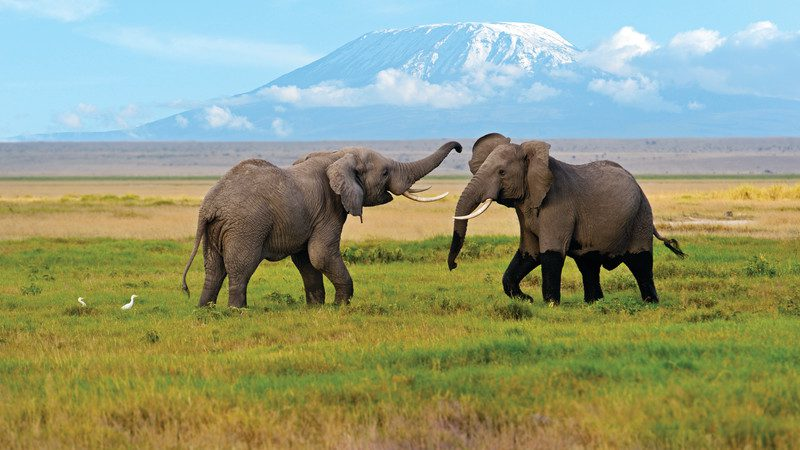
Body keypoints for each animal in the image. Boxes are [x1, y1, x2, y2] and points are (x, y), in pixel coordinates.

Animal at [182, 141, 462, 307]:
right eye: (384, 173)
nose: (459, 147)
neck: (337, 155)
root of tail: (209, 206)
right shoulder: (329, 208)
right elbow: (321, 254)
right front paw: (341, 306)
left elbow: (305, 259)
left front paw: (316, 308)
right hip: (246, 227)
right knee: (241, 267)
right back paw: (238, 310)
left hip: (215, 229)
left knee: (214, 268)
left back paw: (205, 310)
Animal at [447, 133, 684, 305]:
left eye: (502, 172)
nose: (454, 265)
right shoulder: (525, 208)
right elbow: (529, 253)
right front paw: (527, 300)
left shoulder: (558, 205)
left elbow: (550, 253)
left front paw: (550, 305)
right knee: (588, 264)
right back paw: (594, 303)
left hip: (641, 216)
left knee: (640, 262)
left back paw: (650, 303)